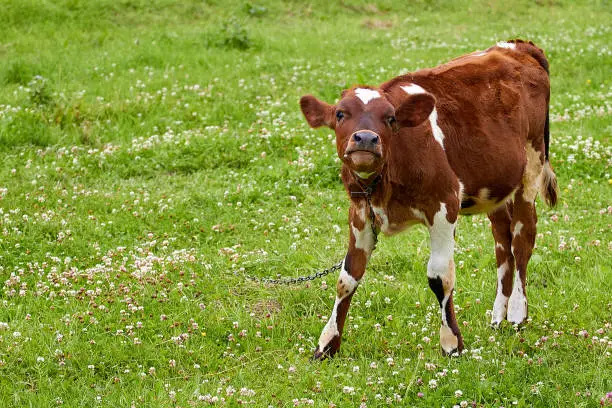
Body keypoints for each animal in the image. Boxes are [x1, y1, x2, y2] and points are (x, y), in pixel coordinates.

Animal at [302, 38, 560, 356]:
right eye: (340, 114)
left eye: (390, 118)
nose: (365, 139)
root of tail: (516, 46)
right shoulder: (360, 212)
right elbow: (347, 277)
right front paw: (327, 343)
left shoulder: (444, 204)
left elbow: (440, 277)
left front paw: (451, 342)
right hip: (496, 187)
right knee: (503, 243)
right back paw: (498, 315)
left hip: (531, 168)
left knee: (522, 239)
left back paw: (516, 312)